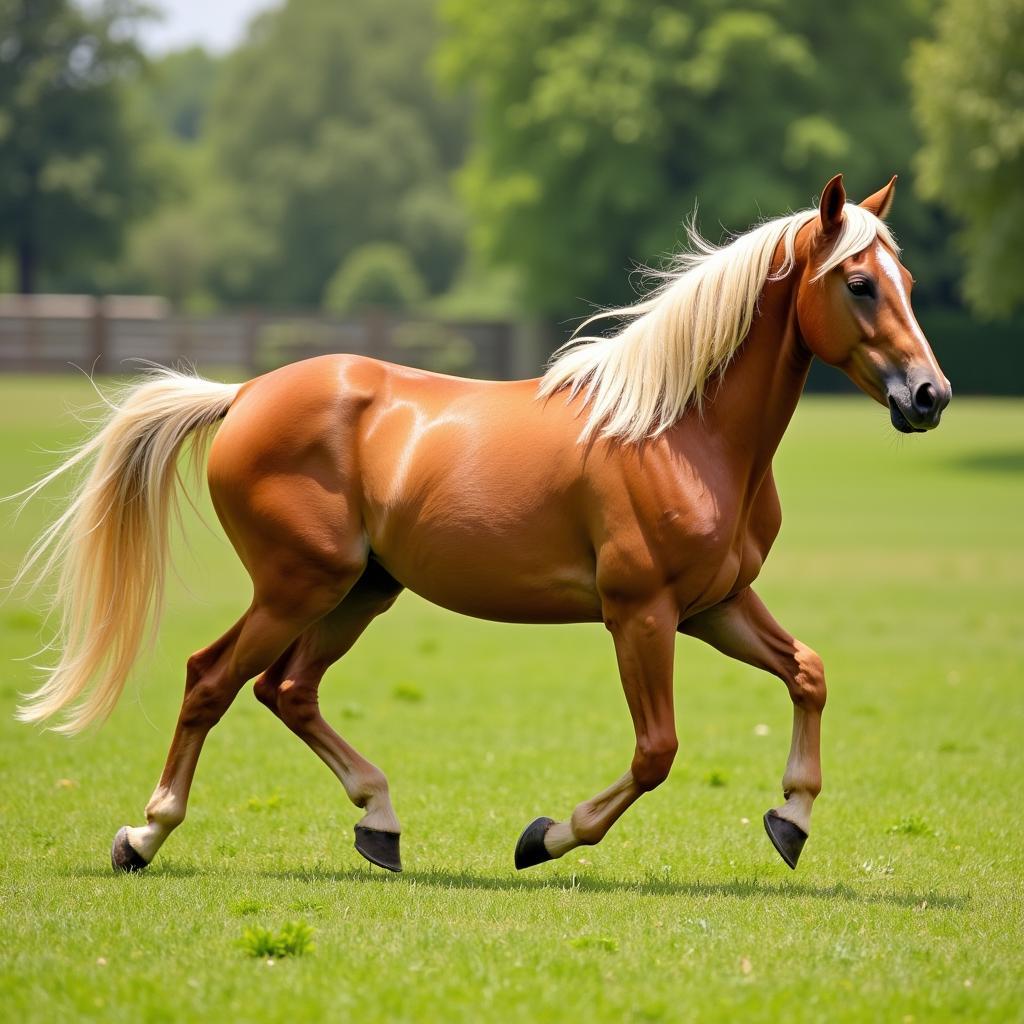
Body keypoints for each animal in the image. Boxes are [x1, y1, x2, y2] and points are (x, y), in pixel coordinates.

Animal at [14, 174, 950, 872]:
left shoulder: (716, 605)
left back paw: (380, 823)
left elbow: (809, 673)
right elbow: (656, 752)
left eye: (908, 285)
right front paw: (546, 837)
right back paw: (143, 836)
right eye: (859, 284)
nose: (929, 396)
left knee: (287, 690)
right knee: (211, 679)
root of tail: (243, 394)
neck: (680, 432)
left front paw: (791, 816)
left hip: (360, 591)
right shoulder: (640, 613)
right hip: (297, 585)